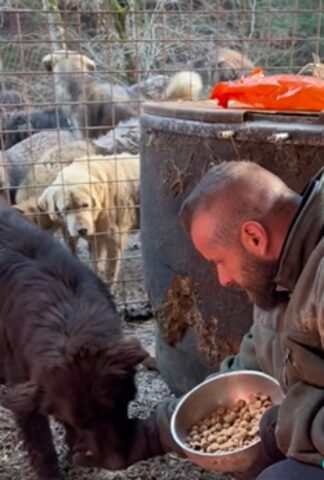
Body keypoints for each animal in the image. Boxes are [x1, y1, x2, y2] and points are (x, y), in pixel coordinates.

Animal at [0, 203, 148, 480]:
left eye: (117, 405)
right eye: (83, 421)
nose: (116, 463)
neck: (65, 311)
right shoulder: (23, 390)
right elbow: (41, 446)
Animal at [37, 154, 140, 282]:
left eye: (85, 205)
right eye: (66, 209)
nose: (82, 230)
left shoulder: (115, 238)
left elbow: (110, 268)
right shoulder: (94, 239)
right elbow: (95, 264)